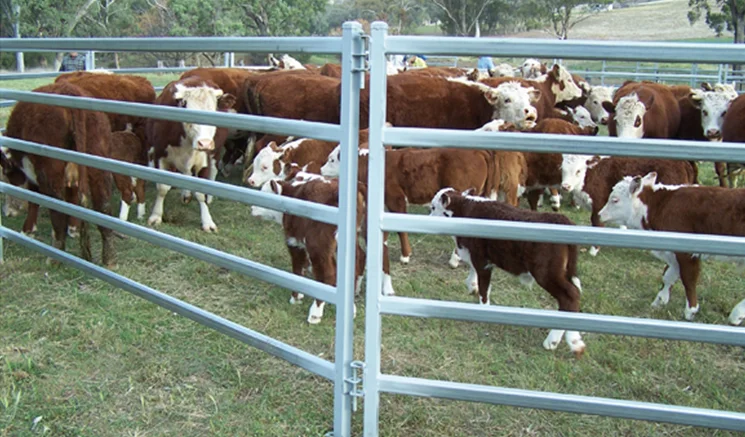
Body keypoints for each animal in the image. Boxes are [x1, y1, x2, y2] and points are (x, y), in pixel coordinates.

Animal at [2, 81, 115, 266]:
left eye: (6, 172)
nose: (8, 211)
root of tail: (71, 93)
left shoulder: (33, 172)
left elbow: (34, 199)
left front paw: (28, 229)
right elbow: (72, 197)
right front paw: (74, 227)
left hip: (50, 170)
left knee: (57, 209)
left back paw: (55, 257)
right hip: (98, 162)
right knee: (103, 205)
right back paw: (109, 257)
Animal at [146, 77, 235, 232]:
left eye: (215, 112)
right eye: (190, 113)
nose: (204, 143)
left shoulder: (204, 161)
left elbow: (200, 193)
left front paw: (207, 221)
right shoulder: (159, 154)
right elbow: (162, 188)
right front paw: (156, 216)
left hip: (215, 152)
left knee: (213, 171)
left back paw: (209, 197)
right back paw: (186, 194)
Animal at [430, 188, 585, 356]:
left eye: (433, 207)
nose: (428, 217)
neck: (465, 209)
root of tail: (562, 219)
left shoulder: (482, 260)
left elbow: (484, 287)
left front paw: (483, 308)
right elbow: (474, 274)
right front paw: (472, 286)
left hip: (546, 273)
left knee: (570, 297)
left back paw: (559, 342)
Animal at [561, 155, 698, 256]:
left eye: (578, 171)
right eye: (562, 169)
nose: (565, 186)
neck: (589, 175)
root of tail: (684, 163)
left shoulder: (599, 203)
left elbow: (596, 222)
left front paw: (593, 251)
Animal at [598, 172, 745, 321]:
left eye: (615, 200)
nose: (600, 215)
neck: (662, 204)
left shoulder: (687, 252)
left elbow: (688, 279)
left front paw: (690, 310)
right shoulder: (673, 252)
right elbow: (668, 275)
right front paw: (659, 301)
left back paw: (736, 315)